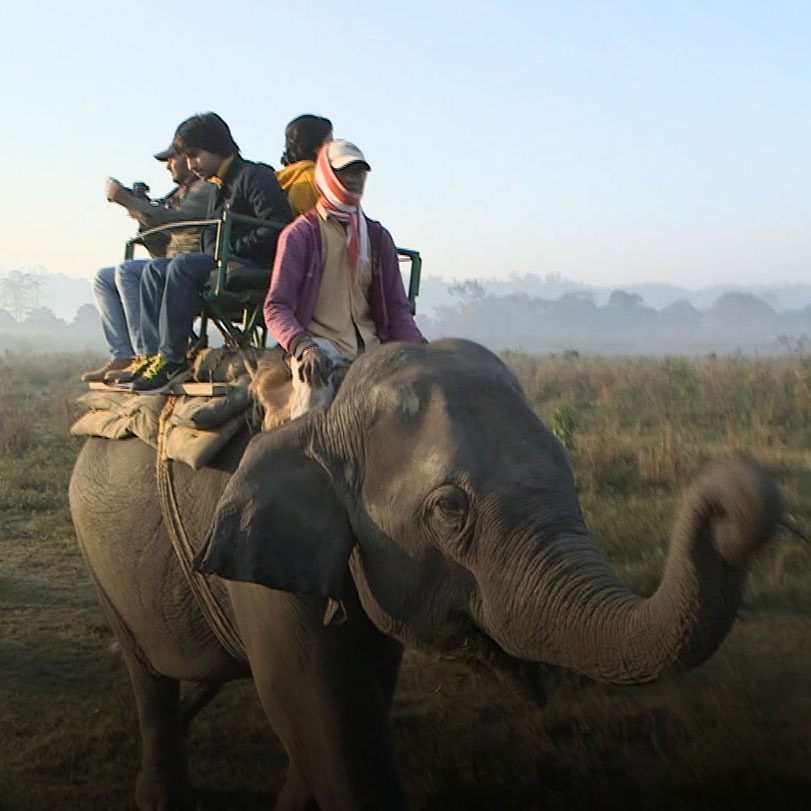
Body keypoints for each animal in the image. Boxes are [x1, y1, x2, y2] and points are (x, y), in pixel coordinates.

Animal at [71, 338, 788, 811]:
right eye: (448, 509)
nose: (741, 496)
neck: (329, 410)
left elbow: (352, 696)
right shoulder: (264, 562)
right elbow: (318, 710)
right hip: (94, 547)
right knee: (147, 674)